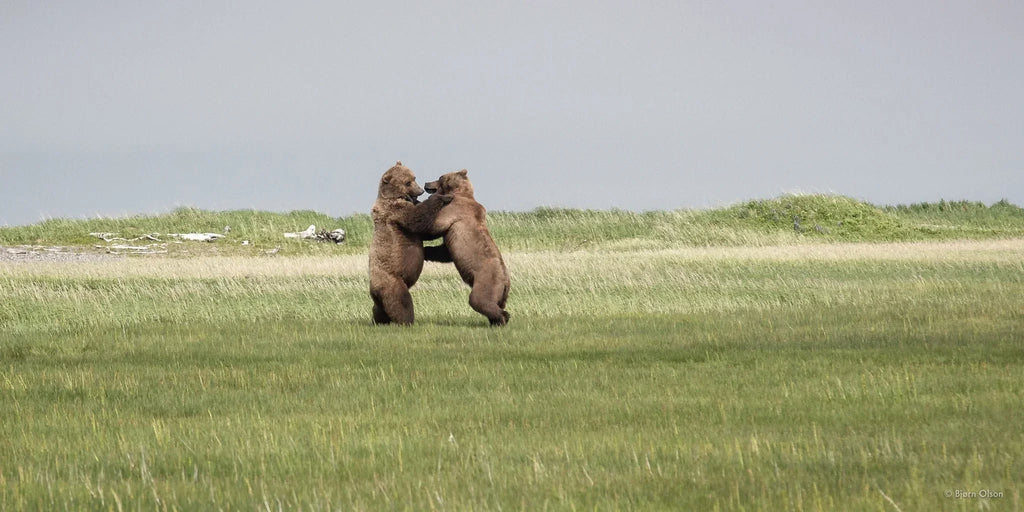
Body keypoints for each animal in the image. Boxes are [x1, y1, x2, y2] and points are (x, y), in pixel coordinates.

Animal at [369, 161, 453, 325]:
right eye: (408, 182)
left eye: (414, 178)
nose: (420, 190)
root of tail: (373, 288)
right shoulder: (396, 212)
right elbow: (419, 221)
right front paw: (442, 196)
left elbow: (424, 230)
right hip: (392, 281)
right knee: (402, 300)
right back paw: (406, 321)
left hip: (379, 296)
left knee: (379, 308)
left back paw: (379, 320)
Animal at [423, 169, 511, 326]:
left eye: (439, 177)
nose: (426, 183)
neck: (459, 192)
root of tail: (506, 282)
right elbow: (444, 252)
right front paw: (426, 251)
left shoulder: (454, 209)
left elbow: (435, 225)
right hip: (500, 293)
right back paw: (496, 320)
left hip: (486, 281)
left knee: (478, 300)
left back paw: (502, 318)